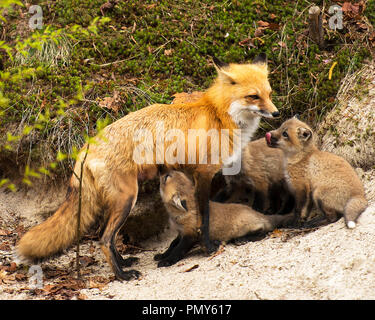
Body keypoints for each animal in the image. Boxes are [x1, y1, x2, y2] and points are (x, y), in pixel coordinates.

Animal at [18, 54, 282, 280]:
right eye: (254, 96)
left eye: (269, 94)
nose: (276, 113)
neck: (219, 115)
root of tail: (85, 147)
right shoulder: (204, 174)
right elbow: (204, 217)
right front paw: (208, 247)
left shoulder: (194, 175)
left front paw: (174, 251)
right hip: (127, 198)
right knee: (103, 239)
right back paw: (122, 275)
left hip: (116, 201)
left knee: (105, 235)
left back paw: (124, 263)